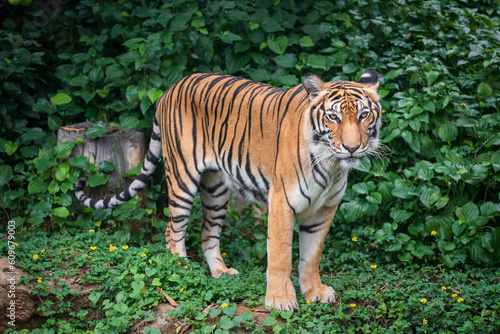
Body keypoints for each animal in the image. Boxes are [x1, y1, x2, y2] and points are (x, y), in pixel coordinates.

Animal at [74, 69, 380, 312]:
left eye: (364, 115)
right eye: (333, 117)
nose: (352, 148)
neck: (331, 165)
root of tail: (169, 89)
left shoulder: (324, 208)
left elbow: (312, 255)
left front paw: (314, 291)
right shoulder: (282, 201)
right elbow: (280, 255)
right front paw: (280, 300)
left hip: (216, 190)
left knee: (208, 233)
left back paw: (221, 272)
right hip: (182, 178)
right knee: (172, 230)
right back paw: (182, 270)